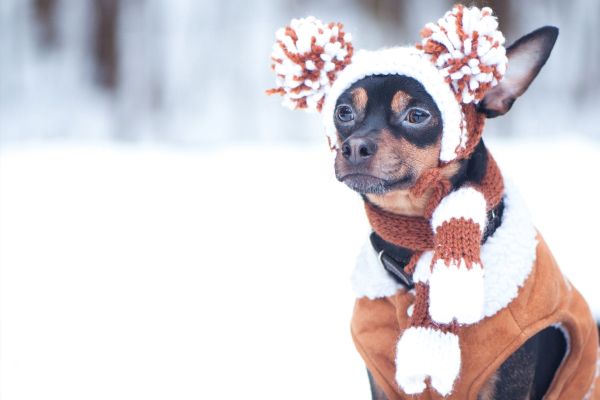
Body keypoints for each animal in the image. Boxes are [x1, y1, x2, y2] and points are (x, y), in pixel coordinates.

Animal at [268, 7, 600, 400]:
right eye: (344, 112)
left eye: (417, 115)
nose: (354, 147)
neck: (415, 247)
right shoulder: (384, 382)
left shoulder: (508, 382)